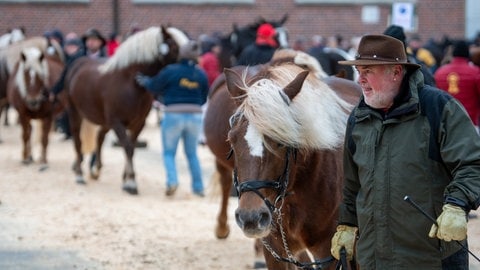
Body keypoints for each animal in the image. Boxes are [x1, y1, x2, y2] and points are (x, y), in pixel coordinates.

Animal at [64, 25, 188, 194]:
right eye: (174, 45)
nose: (194, 62)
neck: (130, 82)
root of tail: (78, 63)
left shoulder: (138, 123)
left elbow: (131, 147)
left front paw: (126, 180)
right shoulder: (118, 123)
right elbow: (128, 147)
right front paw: (131, 183)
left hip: (105, 121)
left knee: (99, 137)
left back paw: (96, 170)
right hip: (75, 113)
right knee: (77, 140)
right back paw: (79, 175)